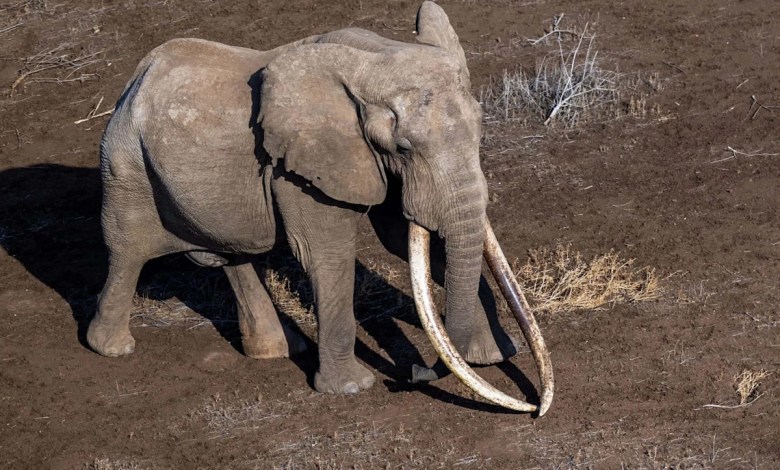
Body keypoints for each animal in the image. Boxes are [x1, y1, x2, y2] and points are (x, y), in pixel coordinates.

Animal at [87, 1, 553, 414]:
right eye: (403, 147)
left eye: (480, 131)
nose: (415, 372)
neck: (375, 55)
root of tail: (136, 77)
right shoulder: (299, 166)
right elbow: (328, 255)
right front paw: (351, 389)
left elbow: (410, 241)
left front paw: (491, 356)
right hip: (126, 163)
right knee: (127, 251)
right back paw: (110, 347)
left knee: (234, 255)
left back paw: (277, 350)